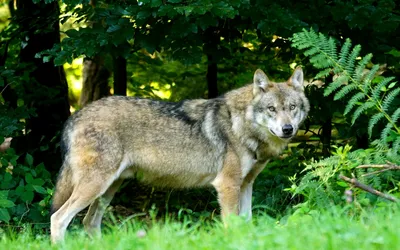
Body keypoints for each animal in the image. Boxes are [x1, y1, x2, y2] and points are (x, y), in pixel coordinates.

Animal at [50, 67, 310, 242]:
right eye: (271, 109)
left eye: (292, 108)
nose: (288, 129)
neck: (241, 124)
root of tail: (75, 116)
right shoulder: (227, 185)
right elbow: (232, 225)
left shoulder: (246, 184)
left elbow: (246, 223)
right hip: (96, 186)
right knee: (58, 218)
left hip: (108, 189)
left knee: (89, 222)